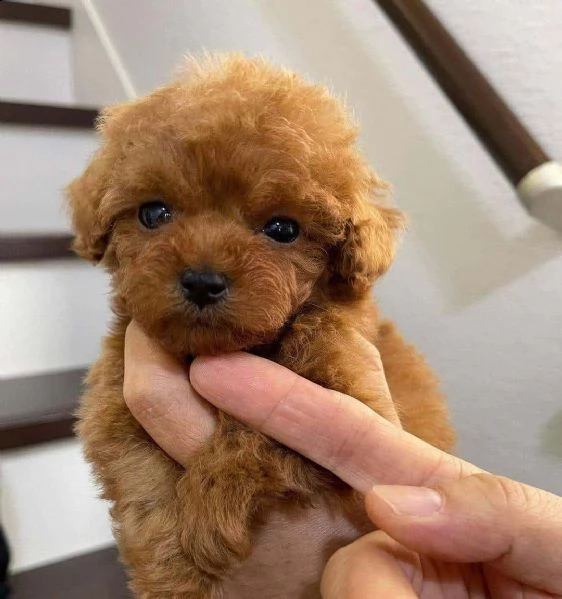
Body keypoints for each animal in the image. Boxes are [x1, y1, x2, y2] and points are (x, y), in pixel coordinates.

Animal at [68, 54, 452, 596]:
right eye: (153, 213)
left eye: (283, 228)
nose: (202, 281)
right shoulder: (113, 399)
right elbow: (144, 480)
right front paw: (173, 573)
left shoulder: (344, 400)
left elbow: (260, 428)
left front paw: (210, 505)